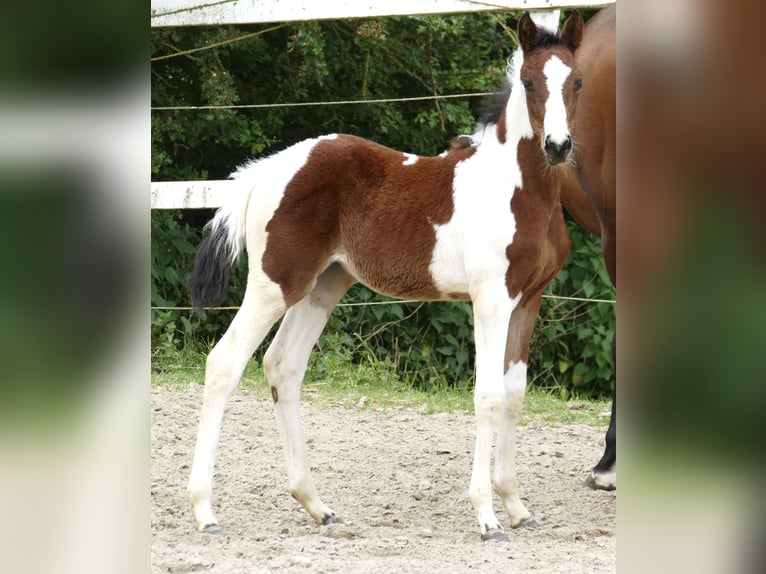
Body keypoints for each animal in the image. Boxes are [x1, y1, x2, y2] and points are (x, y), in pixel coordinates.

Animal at [186, 12, 588, 544]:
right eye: (528, 82)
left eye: (577, 81)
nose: (557, 146)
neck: (518, 190)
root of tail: (267, 170)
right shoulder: (491, 299)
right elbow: (488, 395)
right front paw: (488, 519)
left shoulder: (528, 300)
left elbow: (515, 394)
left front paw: (518, 508)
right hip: (275, 284)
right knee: (224, 363)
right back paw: (205, 511)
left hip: (322, 286)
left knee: (283, 366)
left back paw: (319, 507)